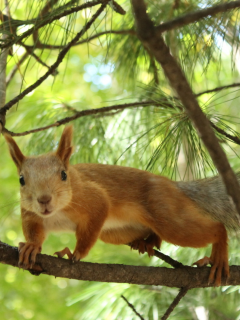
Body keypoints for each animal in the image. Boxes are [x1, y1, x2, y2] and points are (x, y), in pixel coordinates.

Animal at [3, 124, 240, 284]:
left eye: (63, 174)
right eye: (21, 179)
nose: (44, 200)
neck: (56, 212)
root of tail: (175, 186)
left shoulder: (94, 198)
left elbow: (92, 225)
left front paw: (75, 253)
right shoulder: (30, 213)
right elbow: (34, 231)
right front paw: (32, 246)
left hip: (167, 213)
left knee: (215, 228)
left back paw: (219, 255)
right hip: (115, 232)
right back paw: (146, 241)